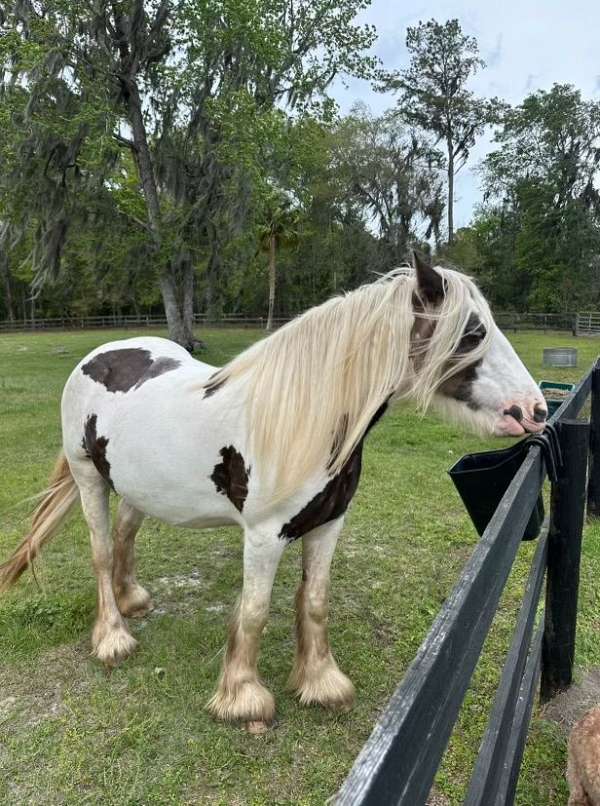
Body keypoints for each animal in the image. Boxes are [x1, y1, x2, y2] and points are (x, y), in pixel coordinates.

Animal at [0, 256, 548, 736]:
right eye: (473, 332)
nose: (536, 411)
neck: (306, 418)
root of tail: (99, 355)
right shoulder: (265, 536)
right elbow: (255, 611)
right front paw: (243, 698)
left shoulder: (328, 525)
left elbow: (316, 601)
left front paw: (321, 683)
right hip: (89, 479)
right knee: (99, 550)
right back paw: (114, 638)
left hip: (137, 486)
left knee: (123, 536)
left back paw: (131, 598)